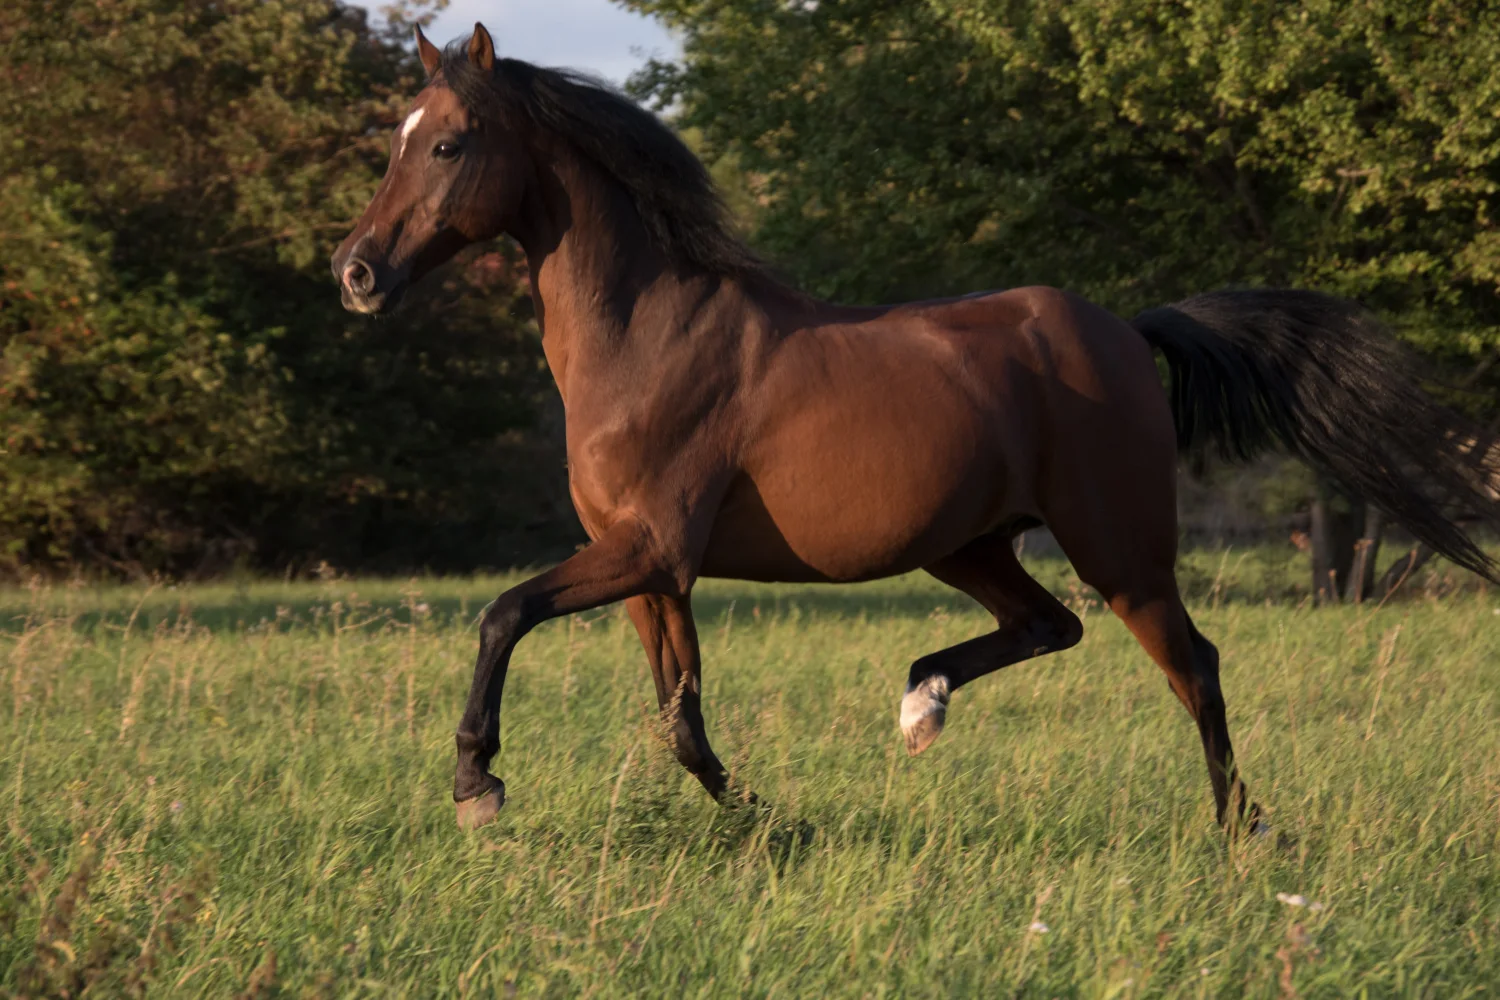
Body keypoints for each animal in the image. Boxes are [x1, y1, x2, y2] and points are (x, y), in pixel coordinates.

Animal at [332, 23, 1500, 833]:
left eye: (448, 144)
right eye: (398, 140)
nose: (357, 272)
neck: (650, 333)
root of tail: (1126, 328)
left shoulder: (648, 549)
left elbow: (505, 614)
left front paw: (476, 782)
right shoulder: (652, 572)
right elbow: (681, 718)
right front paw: (771, 825)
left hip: (1120, 549)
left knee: (1193, 665)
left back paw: (1243, 828)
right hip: (971, 545)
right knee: (1049, 626)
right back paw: (921, 702)